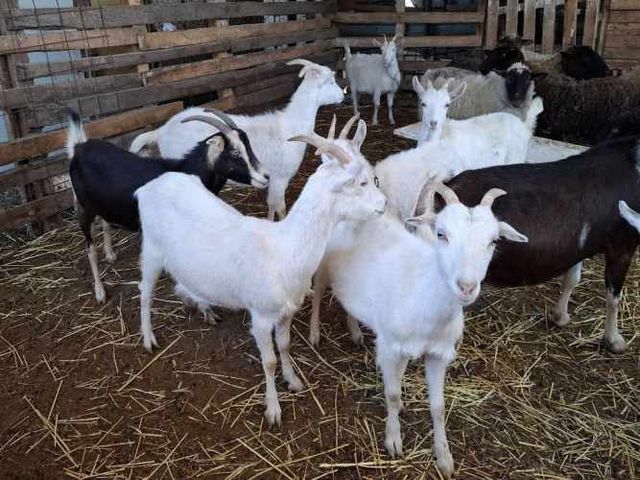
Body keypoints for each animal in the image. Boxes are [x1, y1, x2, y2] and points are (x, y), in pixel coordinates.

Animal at [67, 109, 267, 304]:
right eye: (235, 152)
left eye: (248, 146)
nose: (266, 176)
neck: (185, 169)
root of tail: (78, 148)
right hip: (83, 207)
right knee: (90, 248)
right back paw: (99, 292)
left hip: (100, 203)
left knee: (105, 222)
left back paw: (109, 254)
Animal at [129, 59, 344, 221]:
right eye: (330, 81)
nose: (343, 94)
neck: (291, 125)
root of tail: (163, 130)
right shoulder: (280, 178)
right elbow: (281, 208)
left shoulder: (271, 180)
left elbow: (271, 206)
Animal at [134, 116, 386, 425]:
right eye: (361, 182)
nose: (384, 204)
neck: (284, 248)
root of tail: (150, 186)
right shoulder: (261, 316)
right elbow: (268, 361)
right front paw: (273, 409)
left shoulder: (287, 312)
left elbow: (286, 345)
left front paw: (293, 381)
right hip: (151, 248)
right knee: (145, 292)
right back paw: (148, 339)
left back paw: (200, 306)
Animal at [310, 182, 527, 478]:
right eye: (441, 234)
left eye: (494, 241)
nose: (467, 287)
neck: (421, 291)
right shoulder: (390, 346)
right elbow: (392, 394)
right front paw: (393, 441)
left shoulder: (438, 353)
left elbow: (438, 406)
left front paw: (444, 458)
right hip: (322, 262)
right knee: (318, 292)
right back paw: (314, 334)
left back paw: (355, 332)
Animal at [442, 136, 640, 353]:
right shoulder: (623, 244)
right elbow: (613, 297)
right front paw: (614, 340)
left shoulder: (577, 246)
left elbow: (572, 278)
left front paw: (560, 316)